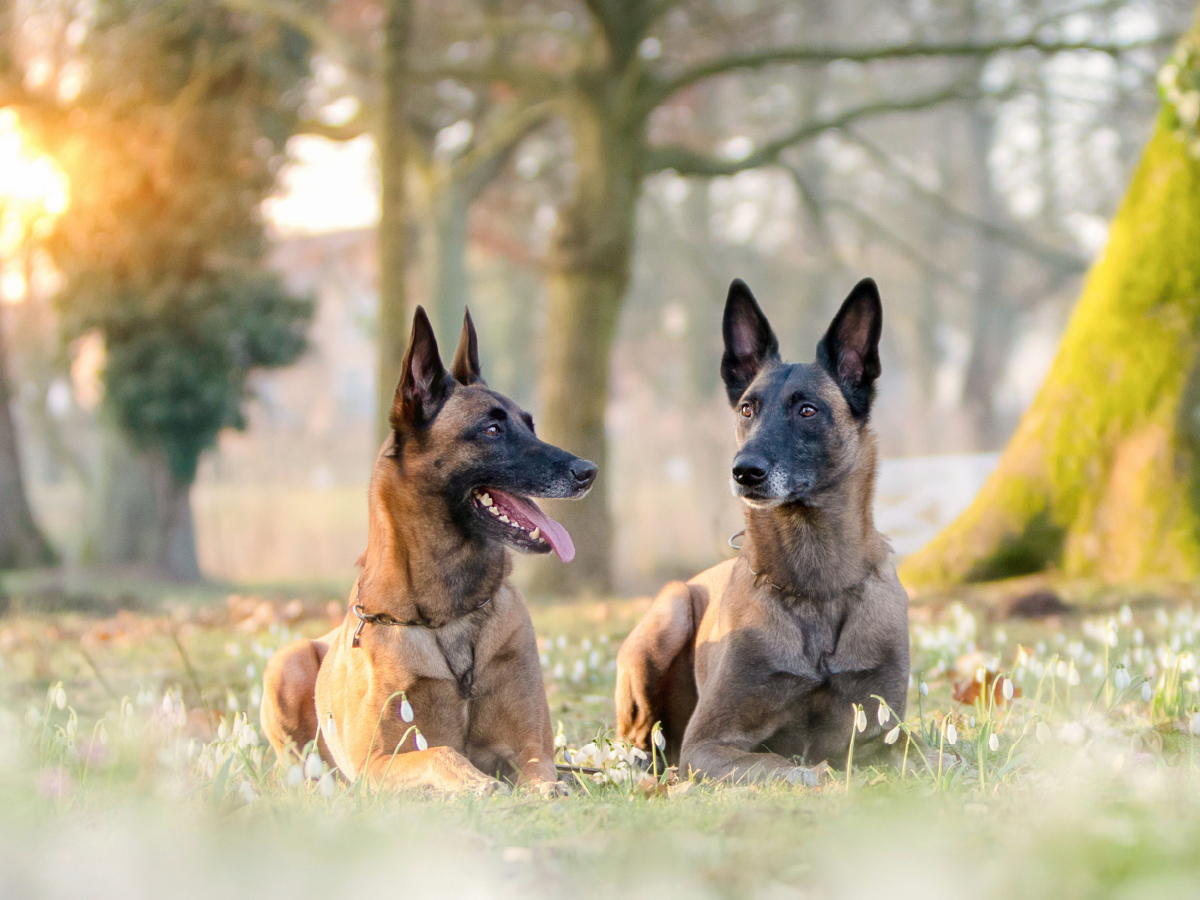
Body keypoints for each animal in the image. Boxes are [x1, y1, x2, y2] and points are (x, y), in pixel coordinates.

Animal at [264, 309, 600, 796]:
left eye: (530, 425)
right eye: (492, 429)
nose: (588, 471)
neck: (449, 613)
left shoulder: (529, 747)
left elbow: (540, 769)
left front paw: (545, 789)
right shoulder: (376, 765)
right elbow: (442, 753)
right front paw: (477, 783)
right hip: (284, 663)